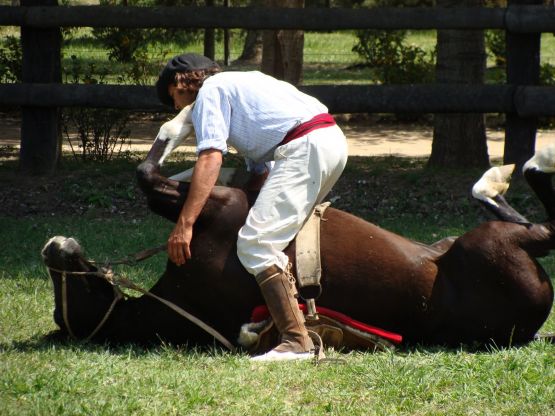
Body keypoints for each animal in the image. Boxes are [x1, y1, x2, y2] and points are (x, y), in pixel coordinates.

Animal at [42, 143, 555, 352]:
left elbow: (153, 182)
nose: (51, 249)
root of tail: (530, 327)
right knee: (545, 227)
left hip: (458, 242)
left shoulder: (229, 198)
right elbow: (146, 179)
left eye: (73, 292)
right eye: (63, 306)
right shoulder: (225, 207)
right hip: (493, 245)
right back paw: (527, 163)